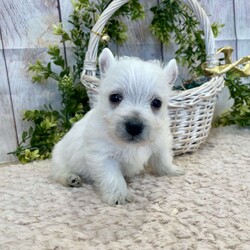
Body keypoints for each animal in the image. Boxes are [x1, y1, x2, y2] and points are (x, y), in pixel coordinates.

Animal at [50, 47, 184, 204]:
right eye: (115, 97)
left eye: (157, 103)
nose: (134, 126)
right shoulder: (103, 156)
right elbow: (112, 177)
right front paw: (119, 196)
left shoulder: (159, 144)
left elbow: (163, 159)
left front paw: (172, 170)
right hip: (59, 159)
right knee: (59, 173)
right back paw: (71, 178)